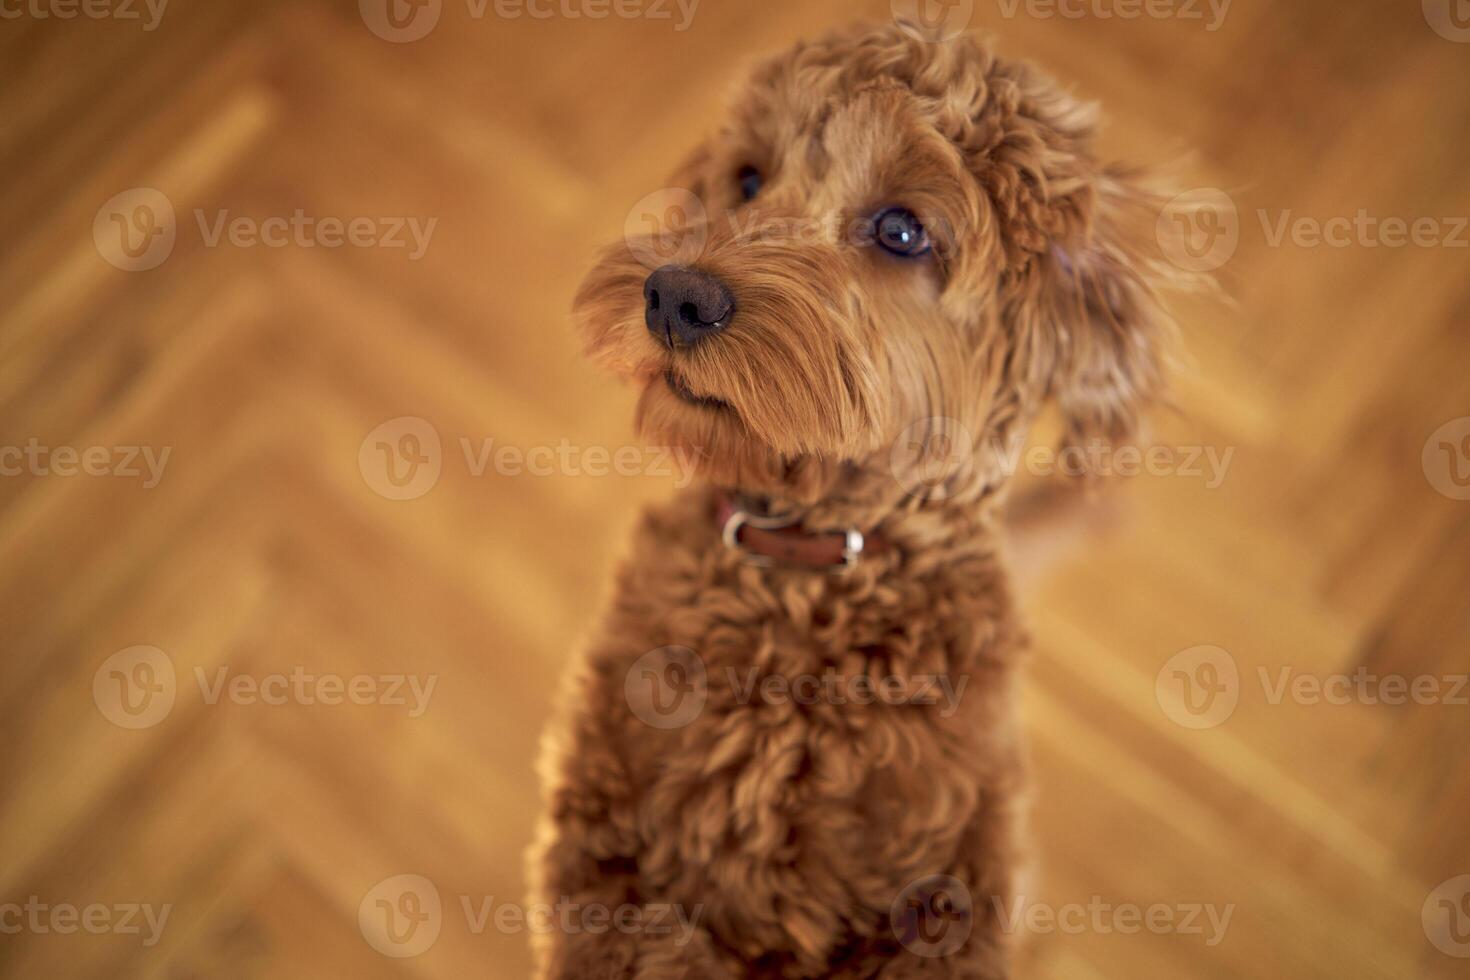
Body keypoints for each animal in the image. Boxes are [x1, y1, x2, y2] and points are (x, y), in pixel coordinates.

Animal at [529, 19, 1181, 975]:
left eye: (902, 231)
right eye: (748, 179)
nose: (674, 296)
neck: (809, 577)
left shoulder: (947, 897)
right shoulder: (593, 827)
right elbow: (626, 920)